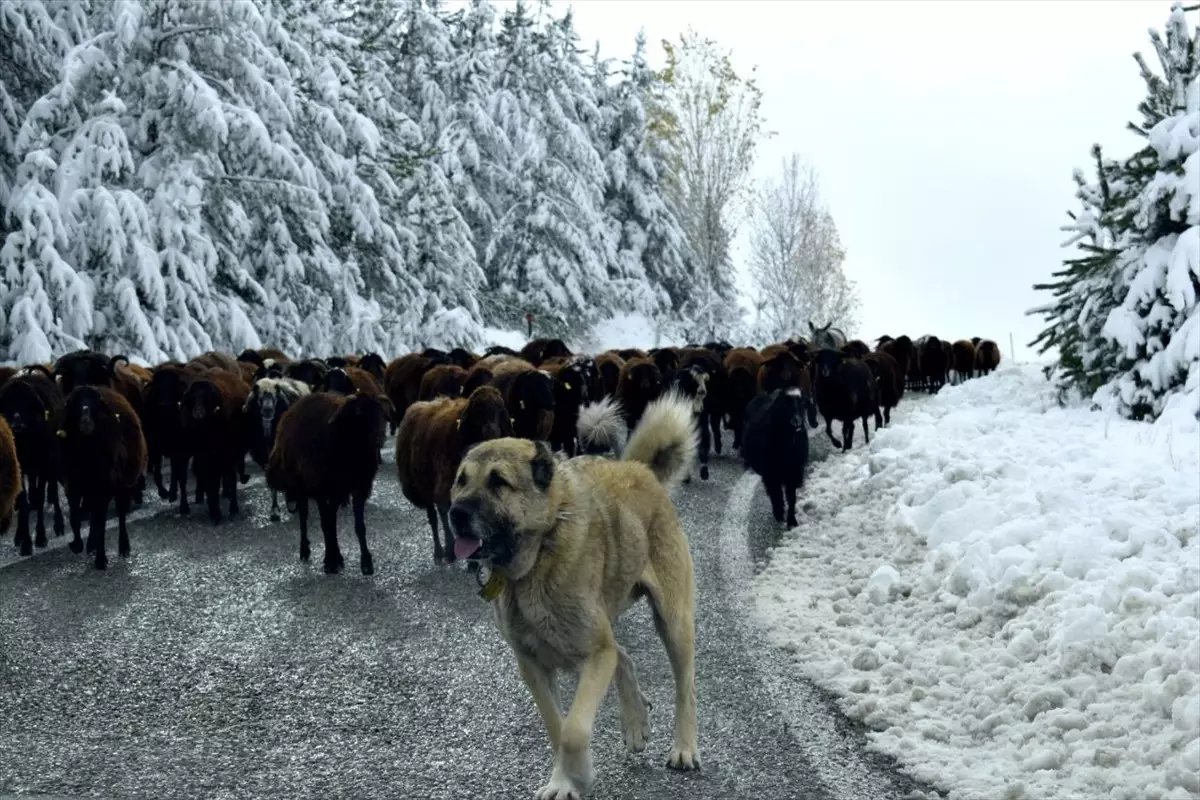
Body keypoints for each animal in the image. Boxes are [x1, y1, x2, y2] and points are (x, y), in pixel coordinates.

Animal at [57, 386, 146, 568]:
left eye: (95, 404)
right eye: (76, 403)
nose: (85, 420)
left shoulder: (103, 489)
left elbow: (101, 523)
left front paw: (100, 559)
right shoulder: (73, 485)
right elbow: (76, 518)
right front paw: (77, 545)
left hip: (122, 485)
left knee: (120, 515)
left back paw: (123, 546)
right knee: (93, 516)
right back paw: (91, 544)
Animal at [268, 391, 388, 573]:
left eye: (381, 412)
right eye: (358, 413)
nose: (380, 437)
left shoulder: (358, 486)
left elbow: (358, 526)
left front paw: (366, 563)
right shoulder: (323, 488)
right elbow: (327, 523)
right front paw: (331, 560)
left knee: (328, 519)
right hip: (303, 486)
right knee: (305, 516)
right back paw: (305, 549)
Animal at [396, 386, 513, 563]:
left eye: (500, 409)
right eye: (477, 410)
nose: (491, 431)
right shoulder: (444, 485)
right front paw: (453, 552)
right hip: (424, 485)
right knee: (434, 518)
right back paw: (440, 552)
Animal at [739, 388, 816, 527]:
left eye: (802, 403)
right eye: (785, 404)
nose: (796, 420)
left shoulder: (793, 473)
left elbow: (791, 497)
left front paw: (791, 520)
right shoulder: (771, 473)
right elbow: (776, 494)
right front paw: (779, 514)